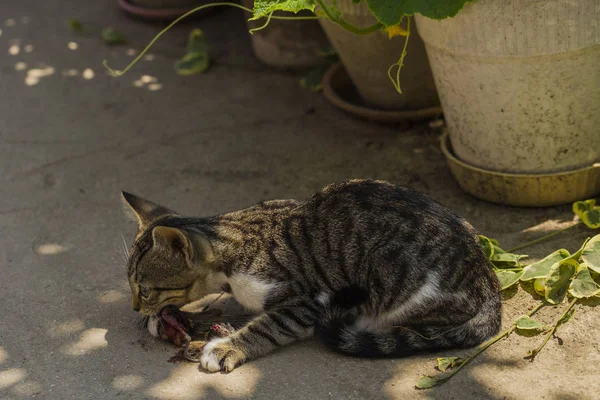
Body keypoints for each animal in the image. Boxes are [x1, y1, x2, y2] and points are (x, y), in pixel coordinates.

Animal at [124, 180, 504, 374]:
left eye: (145, 290)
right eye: (131, 286)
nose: (133, 308)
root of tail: (490, 285)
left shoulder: (307, 301)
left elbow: (269, 324)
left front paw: (227, 346)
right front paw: (195, 323)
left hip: (398, 280)